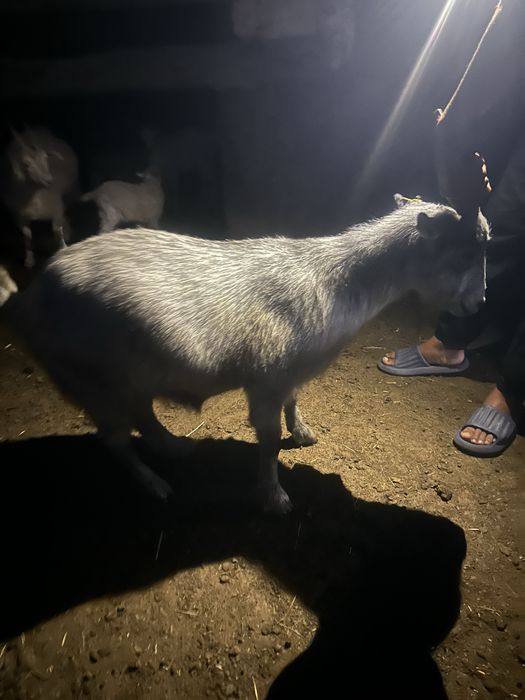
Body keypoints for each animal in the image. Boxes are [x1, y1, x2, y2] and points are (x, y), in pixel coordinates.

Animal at [0, 127, 79, 268]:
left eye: (45, 158)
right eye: (26, 164)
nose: (48, 180)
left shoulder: (56, 209)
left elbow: (57, 231)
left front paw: (63, 248)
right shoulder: (20, 217)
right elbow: (27, 236)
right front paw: (29, 259)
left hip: (71, 190)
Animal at [1, 196, 489, 513]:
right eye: (464, 252)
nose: (480, 303)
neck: (335, 282)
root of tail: (27, 299)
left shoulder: (287, 373)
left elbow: (295, 402)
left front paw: (303, 432)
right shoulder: (267, 379)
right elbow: (269, 442)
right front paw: (275, 497)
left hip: (129, 372)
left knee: (143, 414)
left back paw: (174, 448)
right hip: (88, 377)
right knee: (115, 441)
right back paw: (156, 485)